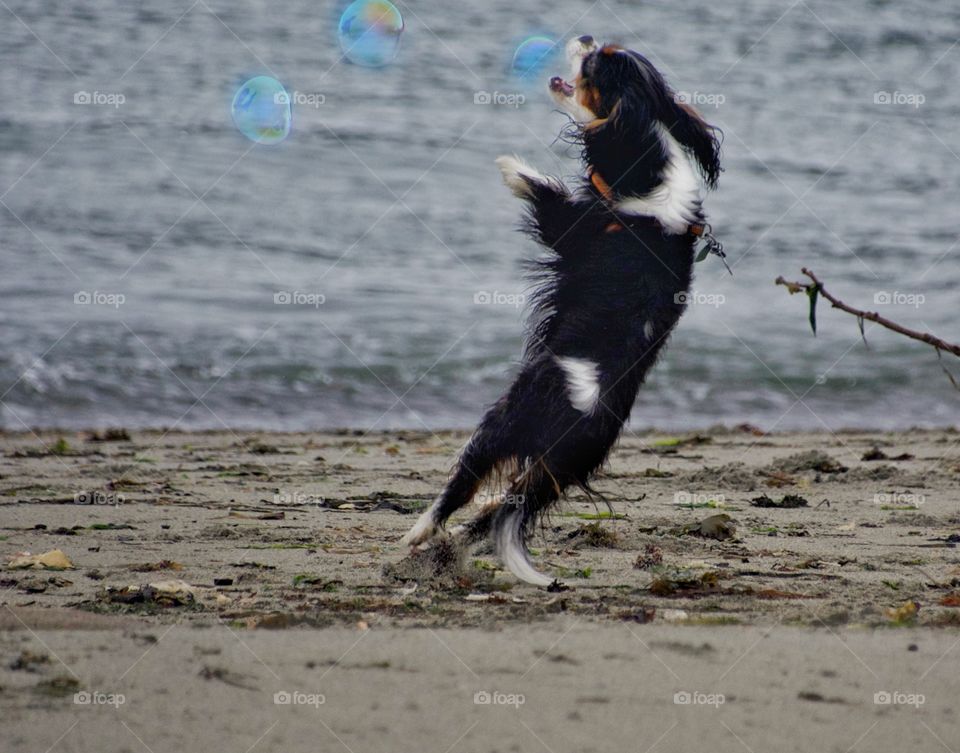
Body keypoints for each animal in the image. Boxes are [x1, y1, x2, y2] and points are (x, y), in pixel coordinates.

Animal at [402, 36, 724, 588]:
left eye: (595, 65)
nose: (586, 38)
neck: (648, 163)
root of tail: (586, 414)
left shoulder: (571, 226)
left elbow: (543, 190)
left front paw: (508, 164)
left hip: (508, 414)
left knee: (464, 483)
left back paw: (419, 532)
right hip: (555, 471)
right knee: (497, 513)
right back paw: (457, 543)